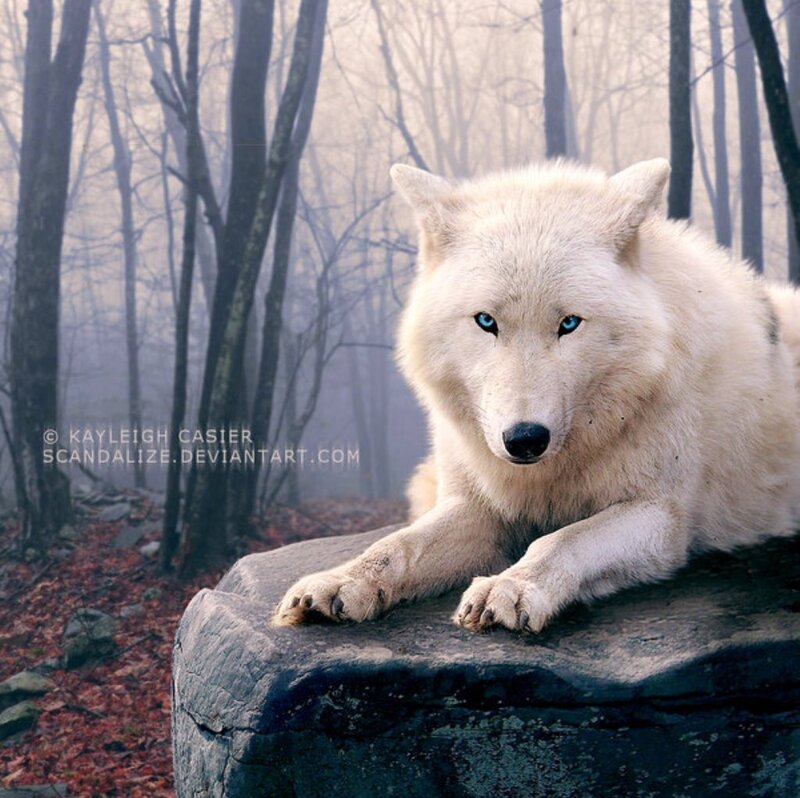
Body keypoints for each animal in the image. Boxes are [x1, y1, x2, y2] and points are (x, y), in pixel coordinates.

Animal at [274, 158, 800, 634]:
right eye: (486, 321)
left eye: (569, 323)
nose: (525, 439)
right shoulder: (477, 505)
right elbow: (396, 546)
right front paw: (340, 582)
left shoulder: (660, 516)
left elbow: (563, 539)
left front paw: (511, 587)